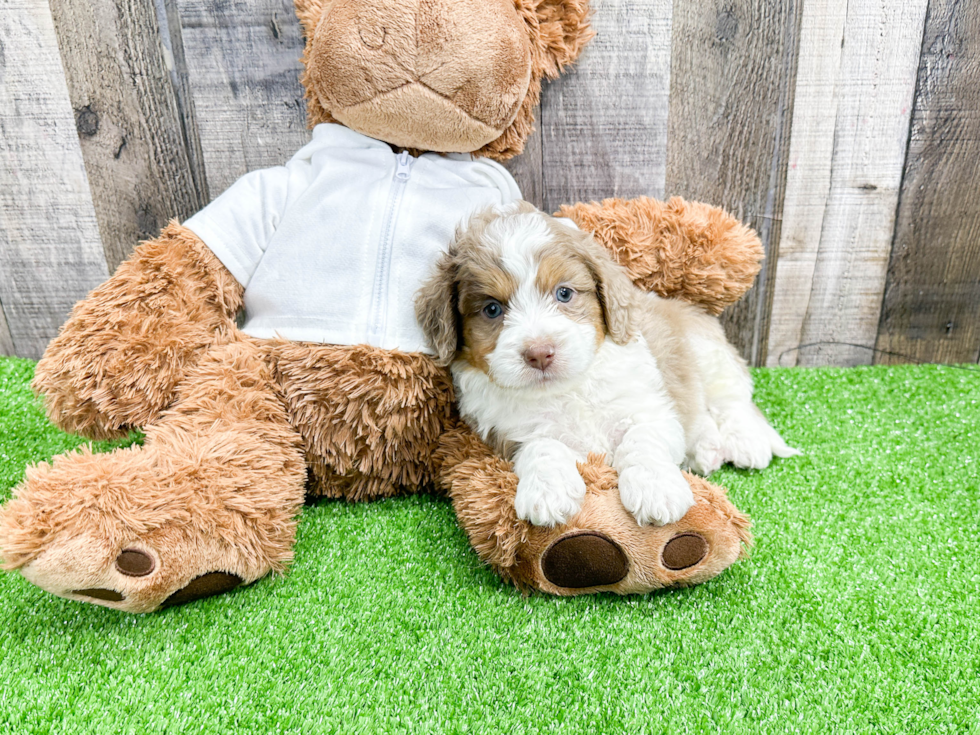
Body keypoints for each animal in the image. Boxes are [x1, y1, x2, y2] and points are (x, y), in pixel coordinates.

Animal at [414, 201, 796, 528]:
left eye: (564, 293)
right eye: (492, 309)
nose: (539, 352)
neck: (567, 389)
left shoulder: (650, 408)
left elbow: (642, 439)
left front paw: (656, 488)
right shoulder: (509, 435)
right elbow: (542, 446)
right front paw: (548, 492)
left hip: (708, 353)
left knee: (732, 399)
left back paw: (745, 442)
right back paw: (705, 449)